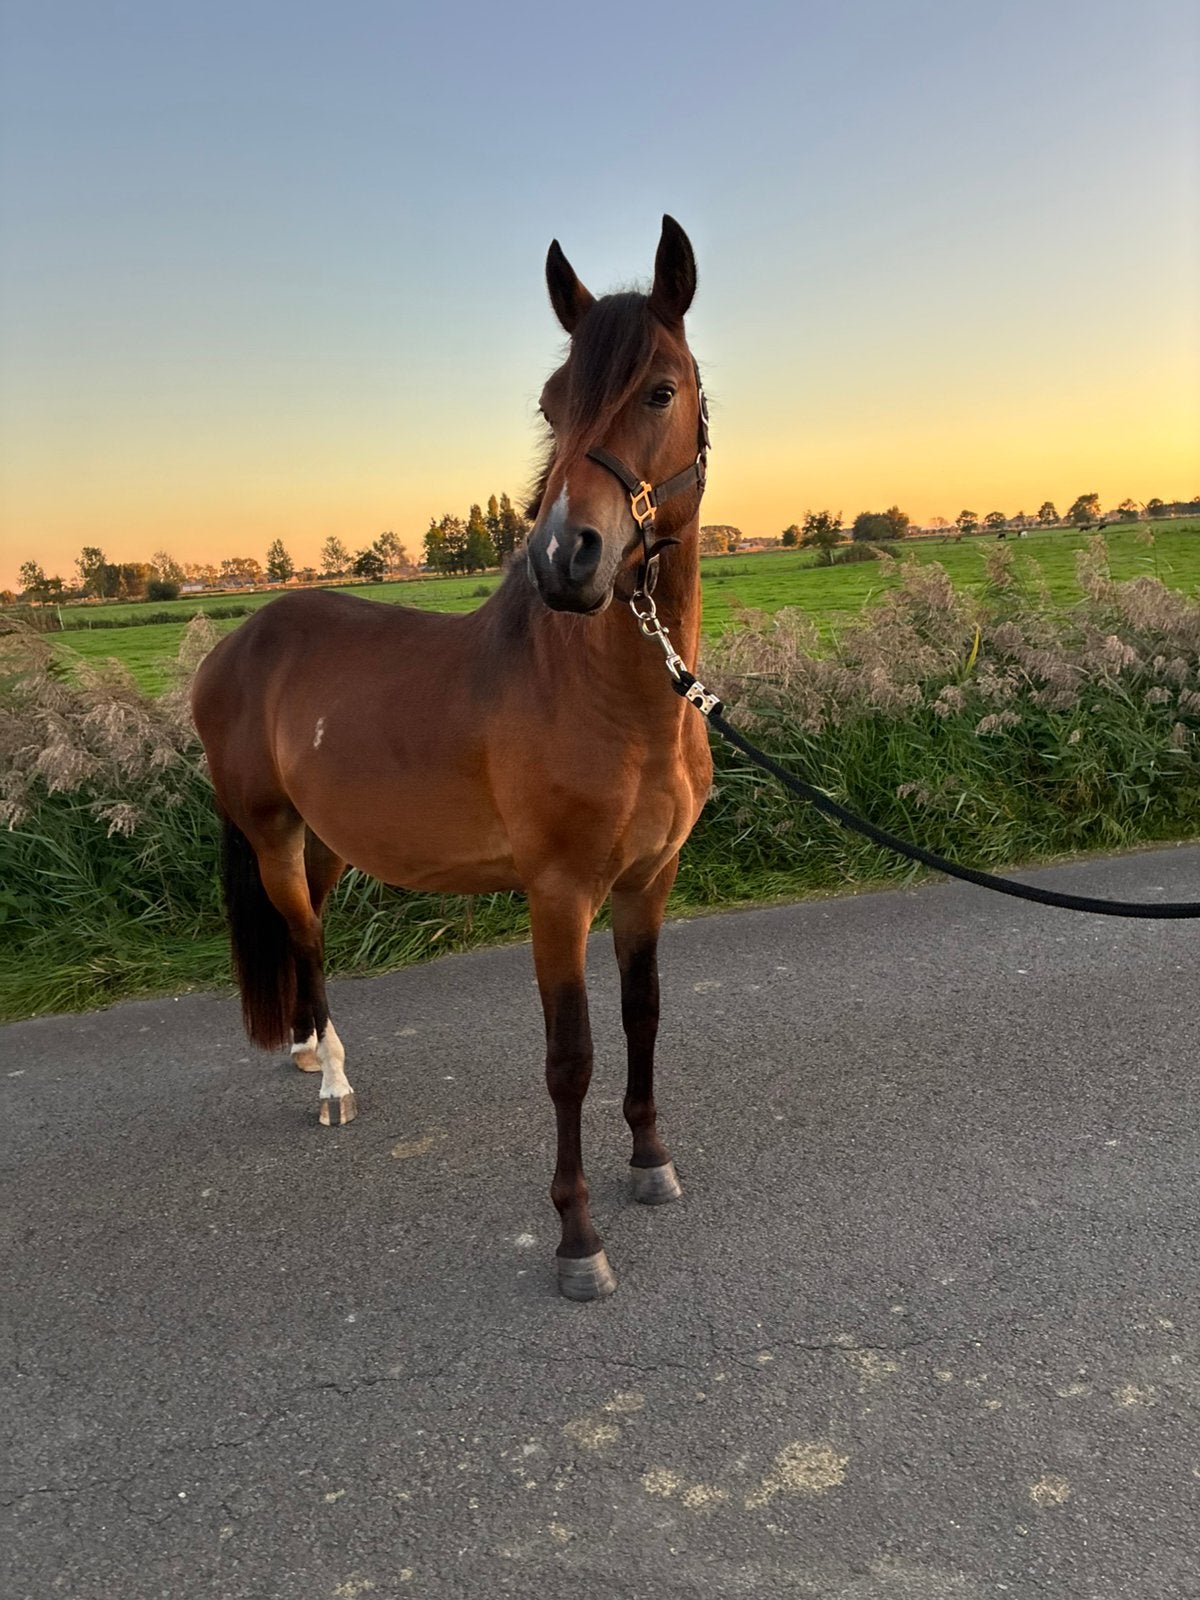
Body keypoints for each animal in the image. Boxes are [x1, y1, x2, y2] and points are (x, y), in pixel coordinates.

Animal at [190, 215, 713, 1300]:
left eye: (659, 389)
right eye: (553, 402)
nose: (567, 559)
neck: (613, 699)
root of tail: (236, 646)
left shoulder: (651, 880)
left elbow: (643, 1016)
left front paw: (651, 1161)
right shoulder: (558, 895)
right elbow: (571, 1057)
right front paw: (577, 1239)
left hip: (327, 841)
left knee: (304, 932)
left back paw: (306, 1048)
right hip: (270, 836)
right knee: (305, 937)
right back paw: (333, 1078)